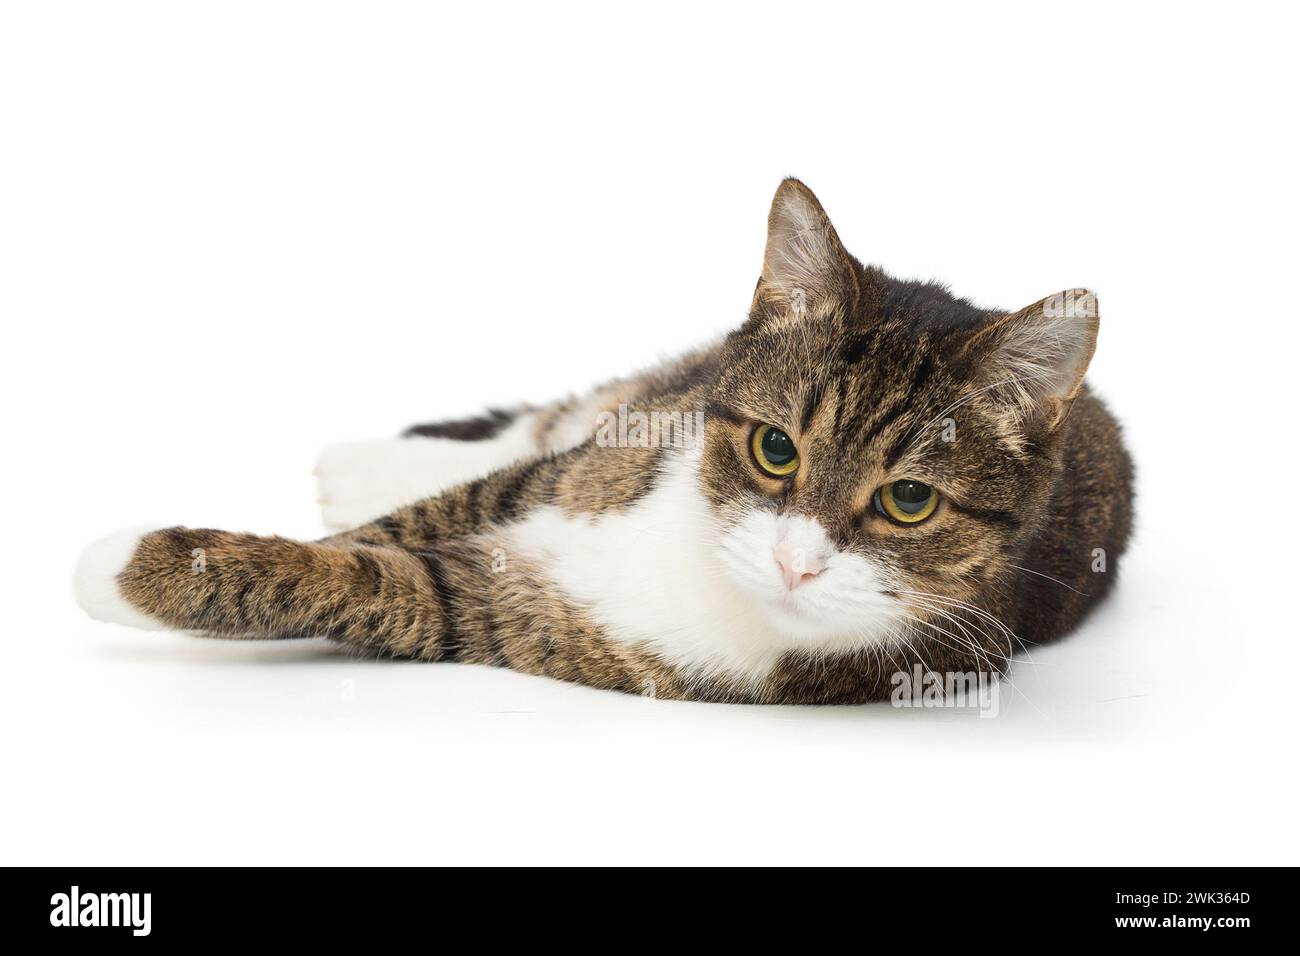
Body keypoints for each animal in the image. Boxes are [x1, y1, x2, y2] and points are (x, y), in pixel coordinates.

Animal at [73, 178, 1128, 702]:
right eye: (775, 450)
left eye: (909, 501)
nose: (794, 562)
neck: (698, 547)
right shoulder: (585, 468)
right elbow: (418, 516)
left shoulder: (513, 619)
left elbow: (375, 579)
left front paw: (130, 567)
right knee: (549, 420)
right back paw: (365, 461)